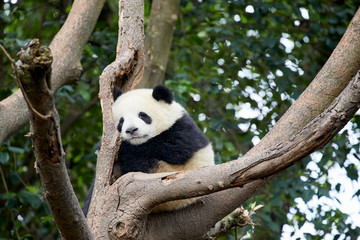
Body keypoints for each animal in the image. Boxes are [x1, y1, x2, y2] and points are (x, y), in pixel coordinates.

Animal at [82, 85, 214, 216]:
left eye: (142, 115)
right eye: (121, 121)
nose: (131, 130)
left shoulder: (183, 129)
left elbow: (177, 149)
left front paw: (122, 147)